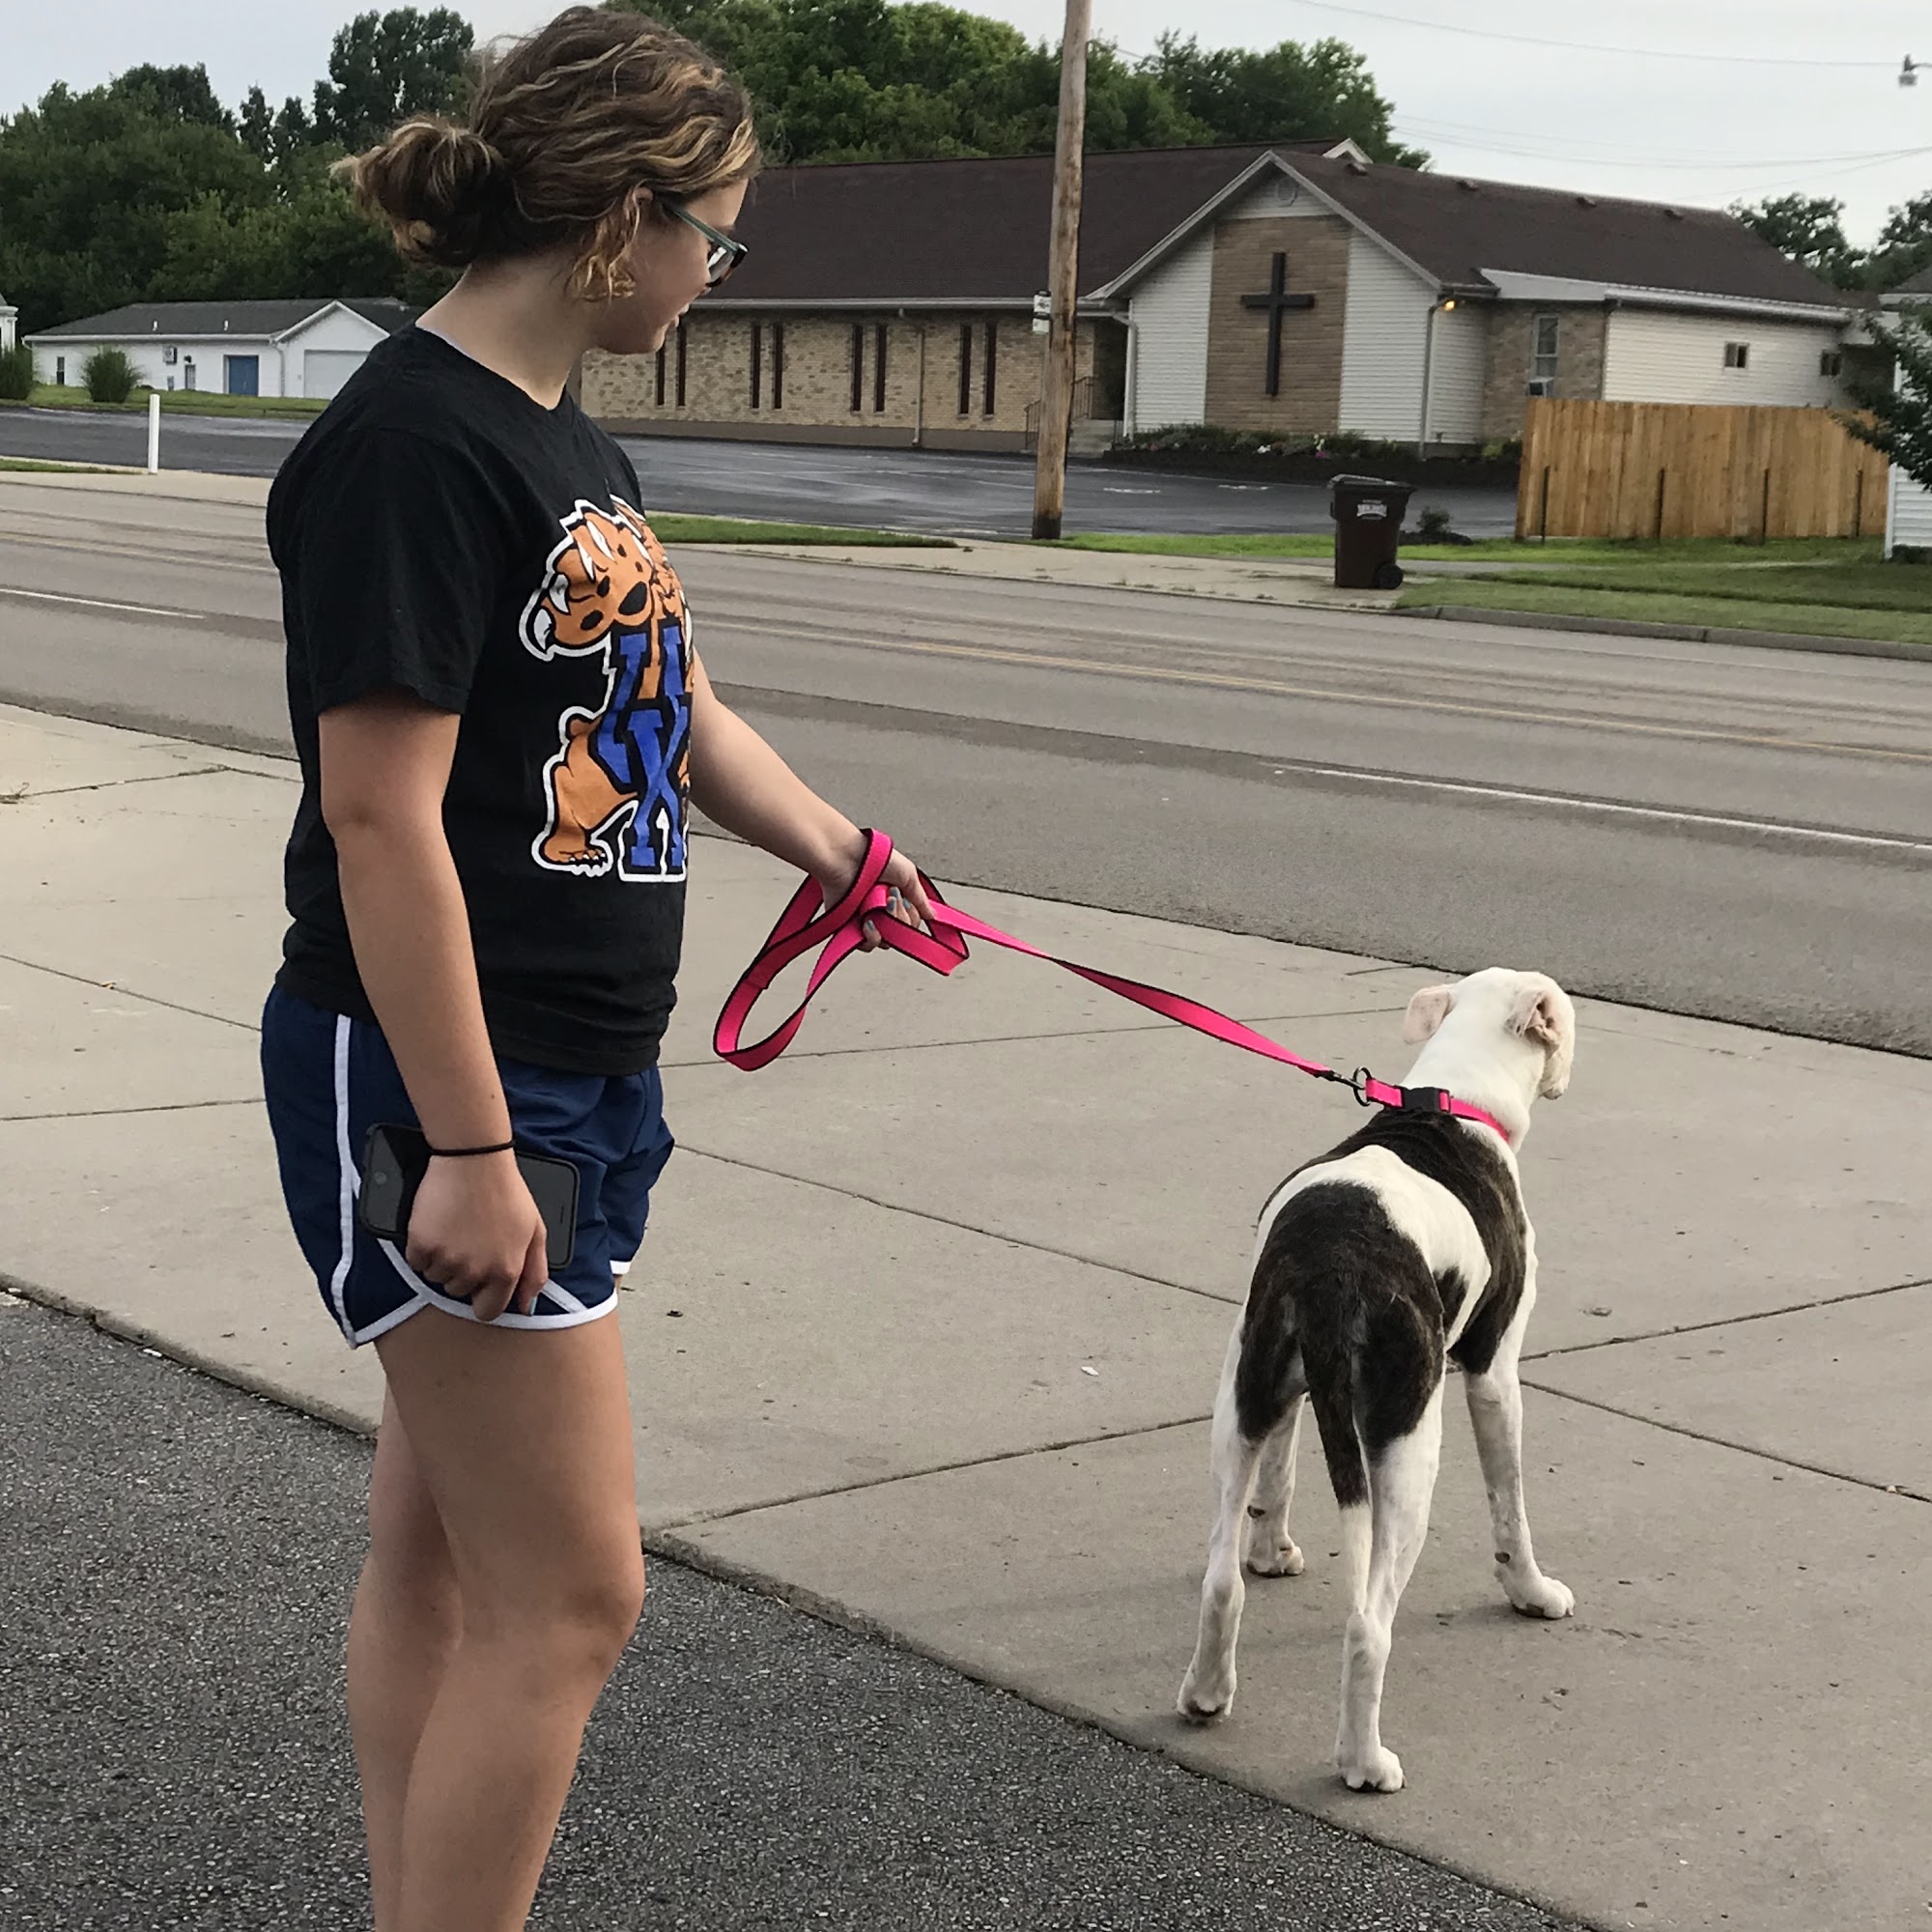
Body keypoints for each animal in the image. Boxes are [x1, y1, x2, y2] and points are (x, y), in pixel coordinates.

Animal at [1177, 968, 1577, 1792]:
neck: (1453, 1099)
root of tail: (1331, 1269)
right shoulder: (1495, 1373)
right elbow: (1510, 1504)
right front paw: (1531, 1591)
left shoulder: (1292, 1399)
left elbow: (1279, 1480)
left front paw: (1274, 1552)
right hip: (1407, 1445)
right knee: (1369, 1622)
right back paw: (1365, 1763)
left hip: (1242, 1397)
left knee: (1221, 1578)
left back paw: (1205, 1693)